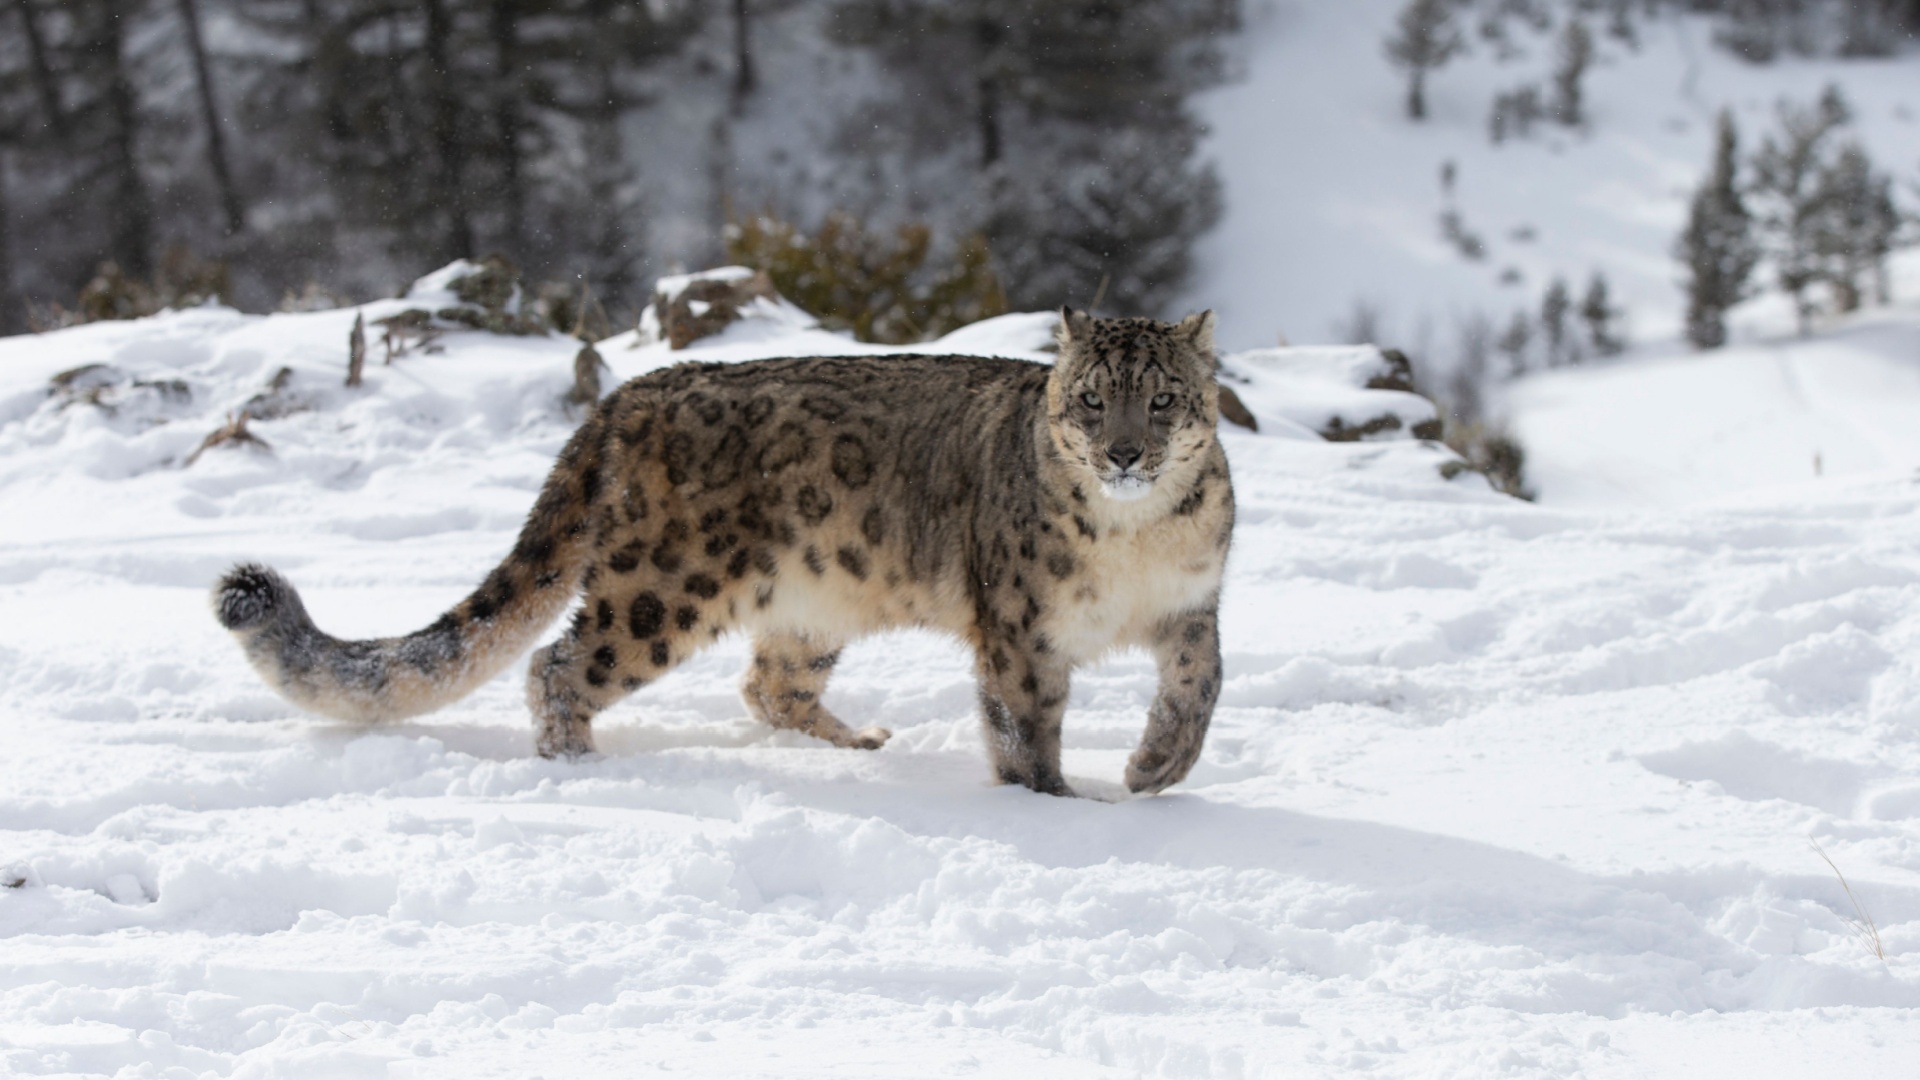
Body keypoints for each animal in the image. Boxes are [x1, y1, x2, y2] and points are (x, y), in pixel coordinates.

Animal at [211, 308, 1234, 796]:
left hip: (816, 602)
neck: (1137, 539)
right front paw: (1057, 805)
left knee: (769, 682)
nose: (1125, 454)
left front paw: (1155, 767)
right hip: (663, 585)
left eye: (1163, 399)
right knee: (560, 662)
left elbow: (1201, 685)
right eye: (1091, 400)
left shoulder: (1193, 604)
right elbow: (1026, 725)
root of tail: (634, 391)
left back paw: (854, 740)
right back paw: (579, 763)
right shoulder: (1020, 630)